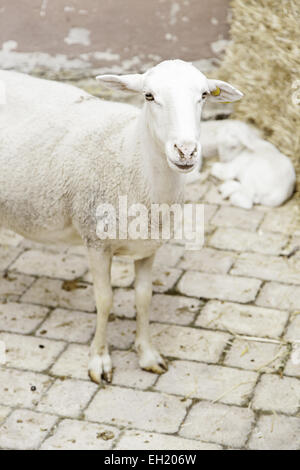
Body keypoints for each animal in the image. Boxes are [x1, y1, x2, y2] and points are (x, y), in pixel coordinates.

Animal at [0, 59, 243, 382]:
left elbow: (143, 298)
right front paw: (99, 360)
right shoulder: (96, 241)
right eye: (149, 96)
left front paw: (147, 354)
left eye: (204, 95)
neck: (131, 155)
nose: (186, 151)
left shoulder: (149, 246)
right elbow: (105, 300)